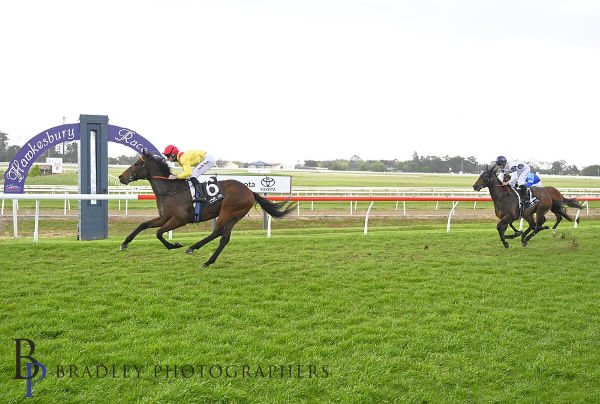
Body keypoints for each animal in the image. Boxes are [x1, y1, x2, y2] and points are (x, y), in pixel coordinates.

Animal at [118, 150, 296, 266]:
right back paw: (209, 261)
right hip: (235, 217)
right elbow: (143, 225)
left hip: (227, 212)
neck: (169, 190)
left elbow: (158, 233)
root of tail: (250, 191)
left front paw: (175, 245)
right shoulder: (164, 217)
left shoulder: (180, 219)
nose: (121, 177)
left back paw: (192, 248)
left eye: (137, 163)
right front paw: (124, 244)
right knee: (224, 238)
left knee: (216, 233)